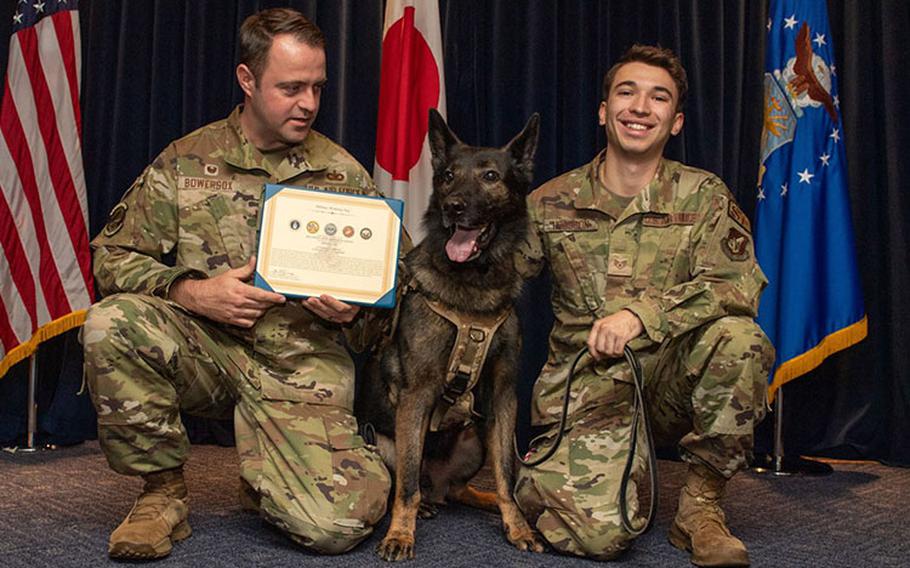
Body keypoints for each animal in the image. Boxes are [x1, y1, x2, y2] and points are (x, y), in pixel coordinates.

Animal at [354, 108, 540, 560]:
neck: (475, 285)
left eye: (490, 176)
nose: (453, 207)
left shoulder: (504, 395)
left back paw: (483, 501)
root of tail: (438, 484)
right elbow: (406, 486)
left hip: (477, 436)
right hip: (385, 441)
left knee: (458, 490)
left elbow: (507, 473)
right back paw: (420, 509)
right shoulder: (417, 394)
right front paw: (400, 535)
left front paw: (516, 525)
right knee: (409, 482)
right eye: (448, 176)